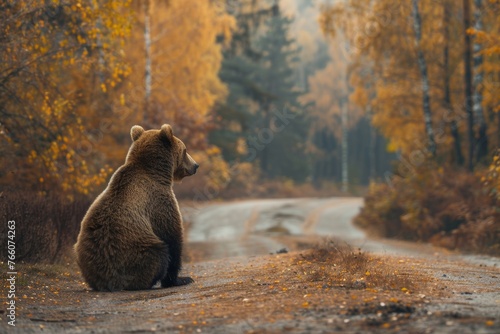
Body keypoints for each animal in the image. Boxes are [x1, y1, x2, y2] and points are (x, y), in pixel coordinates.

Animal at [74, 124, 199, 290]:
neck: (156, 172)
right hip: (138, 255)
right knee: (159, 253)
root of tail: (107, 282)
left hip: (82, 252)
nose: (196, 165)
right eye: (185, 150)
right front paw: (181, 279)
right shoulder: (159, 201)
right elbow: (172, 237)